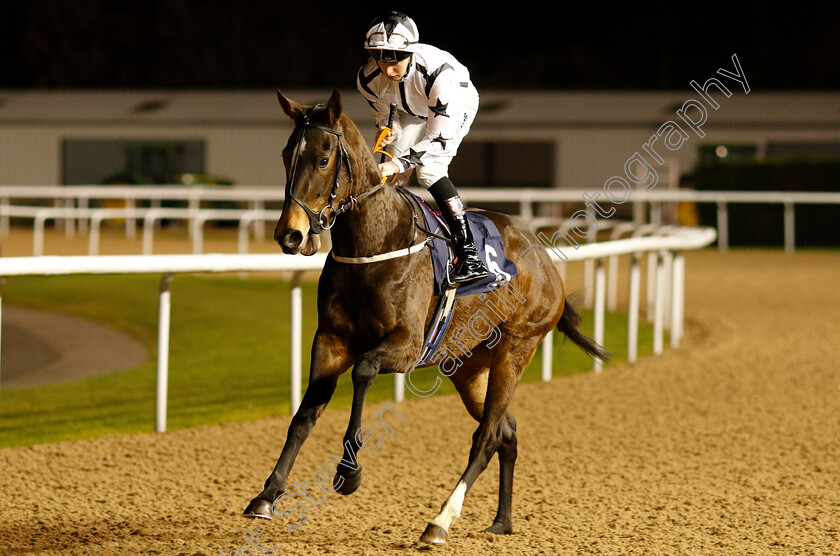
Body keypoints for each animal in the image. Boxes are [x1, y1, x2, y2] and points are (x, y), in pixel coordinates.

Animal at [241, 89, 604, 544]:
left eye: (323, 159)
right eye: (287, 154)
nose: (290, 235)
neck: (374, 245)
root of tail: (544, 258)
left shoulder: (407, 345)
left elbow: (363, 371)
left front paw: (349, 473)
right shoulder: (331, 339)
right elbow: (304, 416)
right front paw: (266, 496)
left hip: (516, 349)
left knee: (487, 435)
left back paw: (440, 521)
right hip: (469, 367)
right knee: (506, 430)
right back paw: (502, 521)